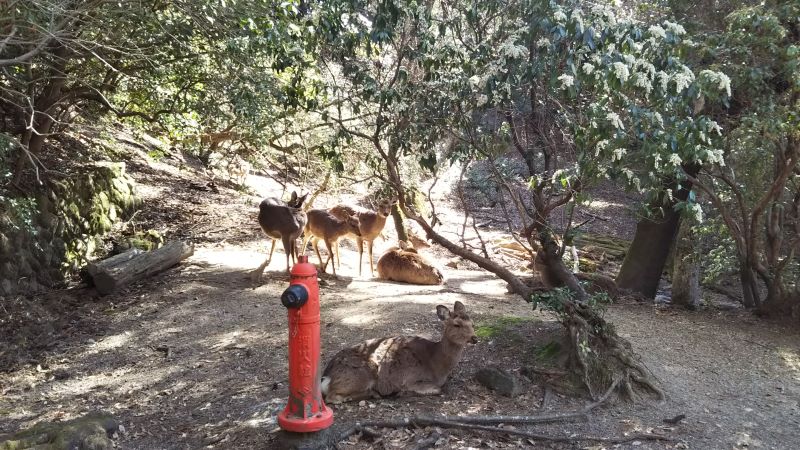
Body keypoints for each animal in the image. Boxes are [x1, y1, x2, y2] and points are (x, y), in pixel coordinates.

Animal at [321, 301, 477, 404]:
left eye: (472, 323)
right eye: (457, 325)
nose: (475, 338)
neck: (436, 365)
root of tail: (326, 375)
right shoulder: (411, 378)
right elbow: (438, 389)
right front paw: (403, 392)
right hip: (361, 374)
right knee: (332, 397)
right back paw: (375, 393)